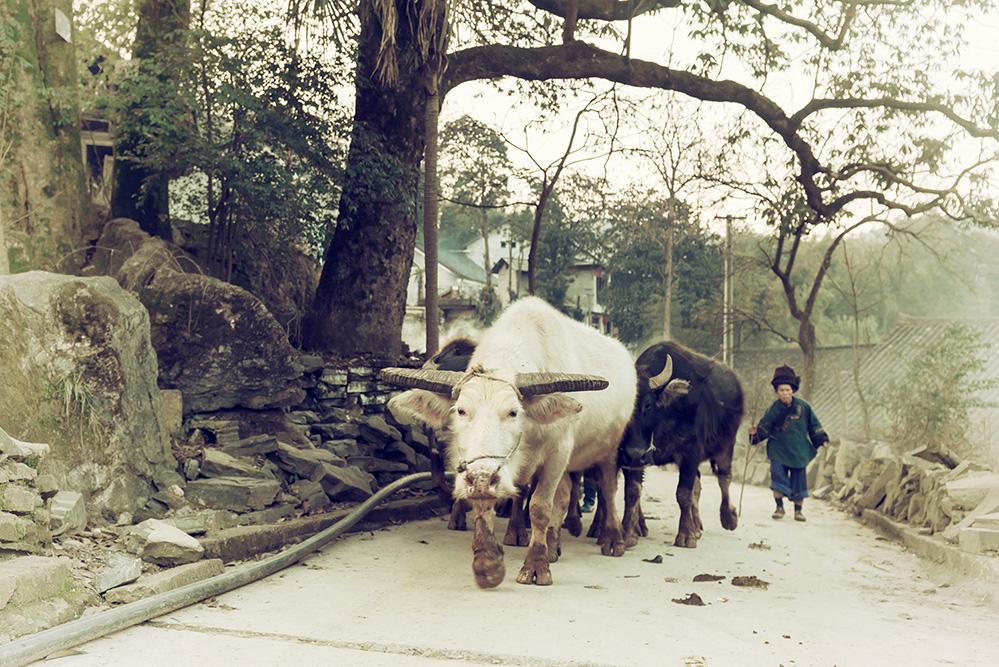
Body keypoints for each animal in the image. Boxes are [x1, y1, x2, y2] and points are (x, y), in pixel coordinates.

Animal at [382, 298, 640, 588]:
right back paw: (553, 545)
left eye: (513, 412)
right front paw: (488, 563)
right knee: (565, 496)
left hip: (610, 449)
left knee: (607, 489)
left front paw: (536, 565)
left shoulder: (558, 453)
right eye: (460, 410)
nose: (481, 478)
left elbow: (540, 507)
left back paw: (612, 539)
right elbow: (486, 507)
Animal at [616, 342, 744, 552]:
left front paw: (686, 535)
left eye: (647, 405)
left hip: (727, 444)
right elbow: (633, 491)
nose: (636, 454)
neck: (664, 419)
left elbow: (683, 493)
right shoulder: (631, 456)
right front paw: (627, 533)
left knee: (724, 478)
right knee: (698, 485)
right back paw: (696, 525)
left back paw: (728, 518)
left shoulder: (689, 451)